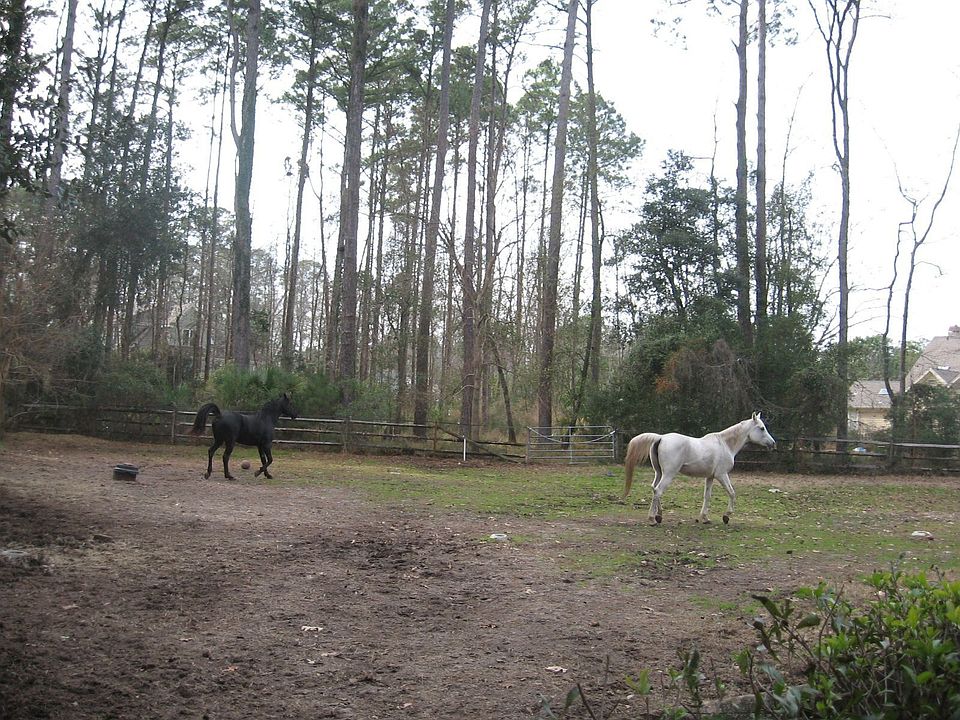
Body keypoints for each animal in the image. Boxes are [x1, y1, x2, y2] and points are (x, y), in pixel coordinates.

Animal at [622, 412, 776, 525]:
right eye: (762, 428)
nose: (773, 444)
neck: (725, 444)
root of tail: (661, 438)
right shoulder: (722, 475)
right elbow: (732, 493)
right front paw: (726, 516)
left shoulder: (710, 477)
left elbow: (707, 496)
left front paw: (705, 518)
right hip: (669, 474)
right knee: (658, 490)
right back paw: (652, 519)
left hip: (659, 472)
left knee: (654, 489)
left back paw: (659, 516)